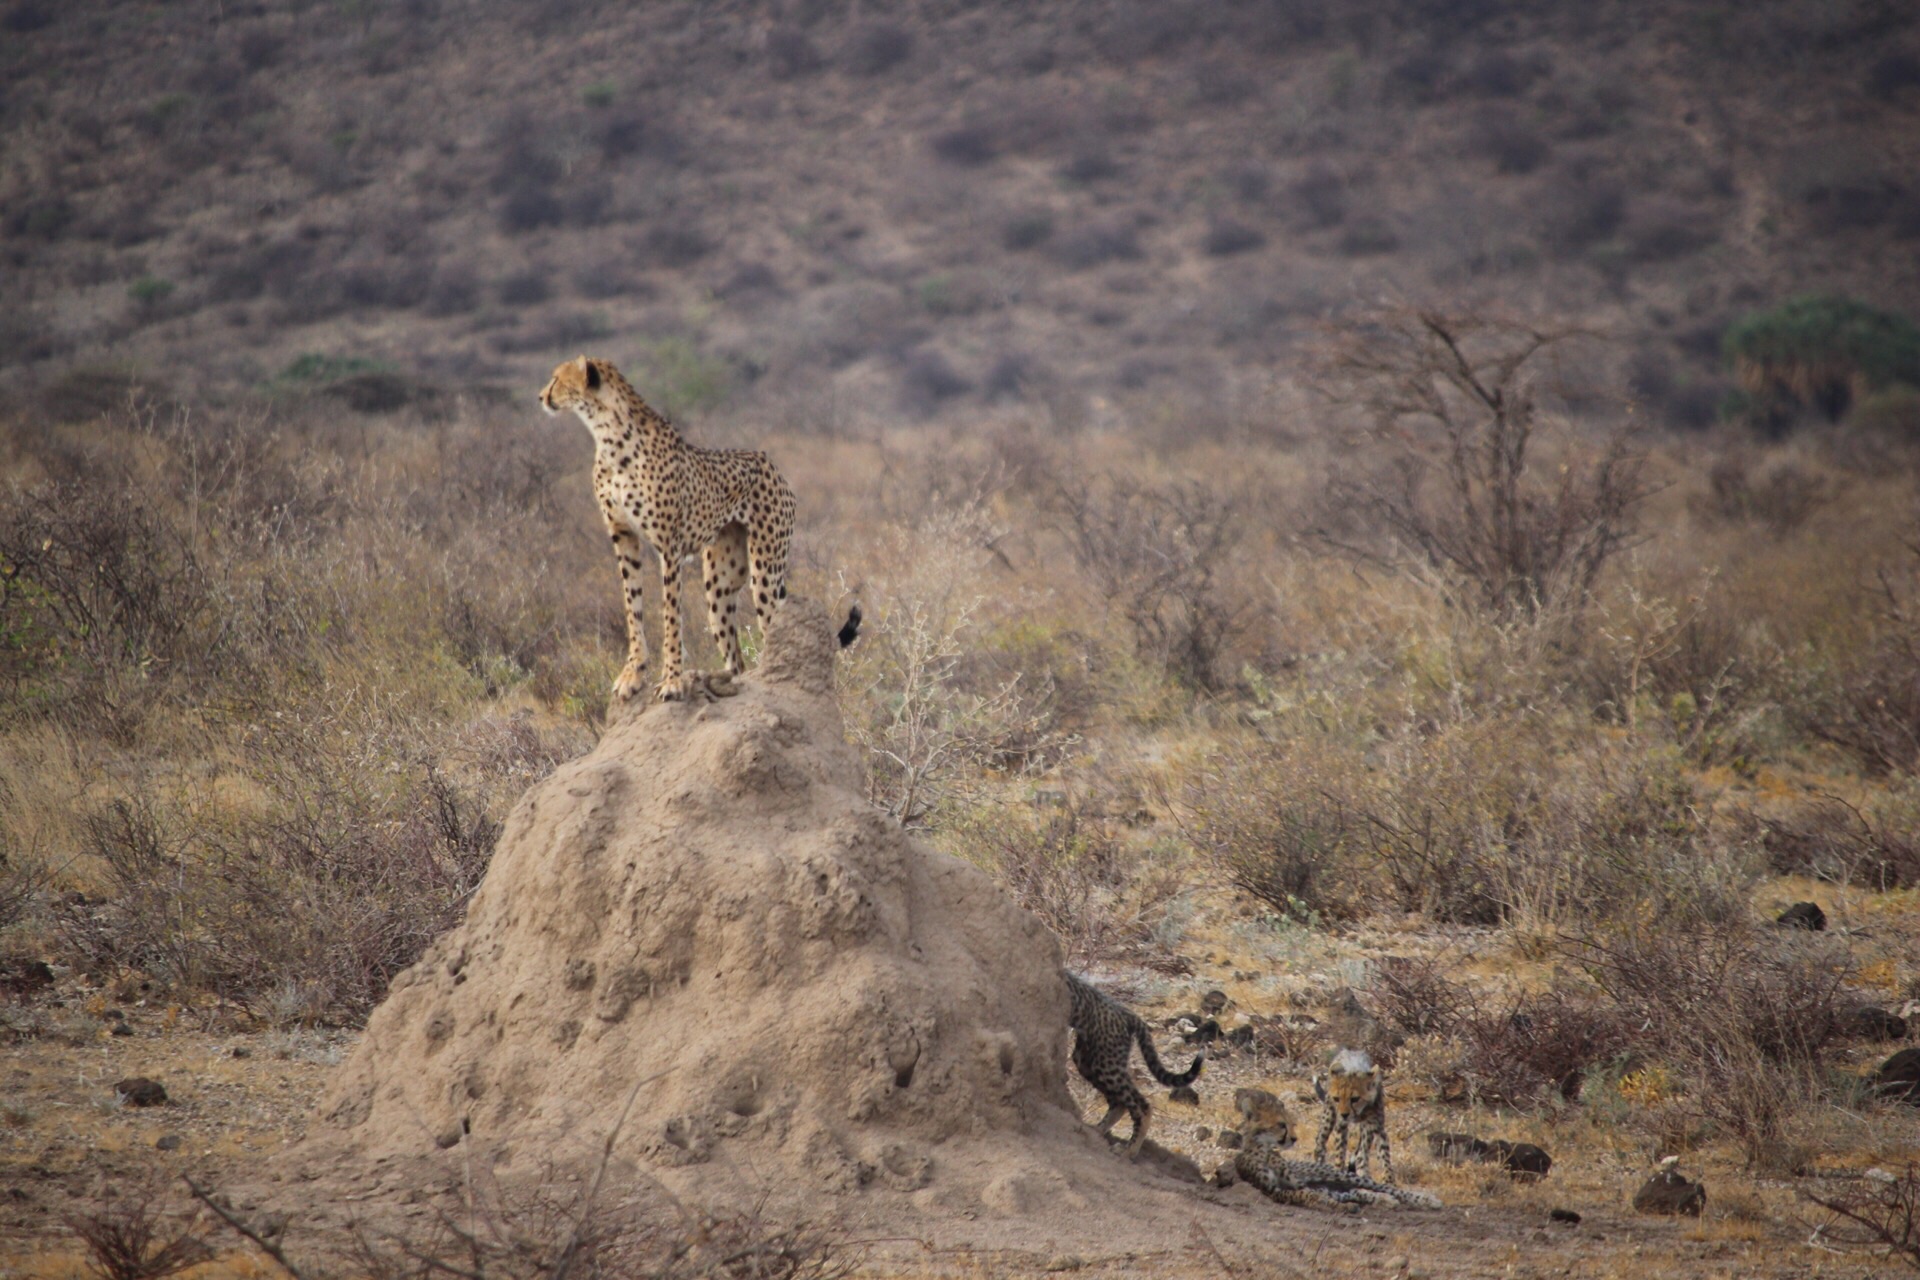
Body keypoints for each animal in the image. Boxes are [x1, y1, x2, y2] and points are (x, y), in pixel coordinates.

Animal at [541, 355, 833, 706]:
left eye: (557, 379)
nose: (541, 397)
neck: (607, 435)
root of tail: (770, 462)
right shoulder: (623, 537)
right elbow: (632, 606)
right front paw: (633, 673)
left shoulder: (670, 546)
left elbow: (670, 615)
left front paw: (672, 681)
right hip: (719, 583)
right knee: (736, 658)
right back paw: (729, 683)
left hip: (766, 570)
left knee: (772, 628)